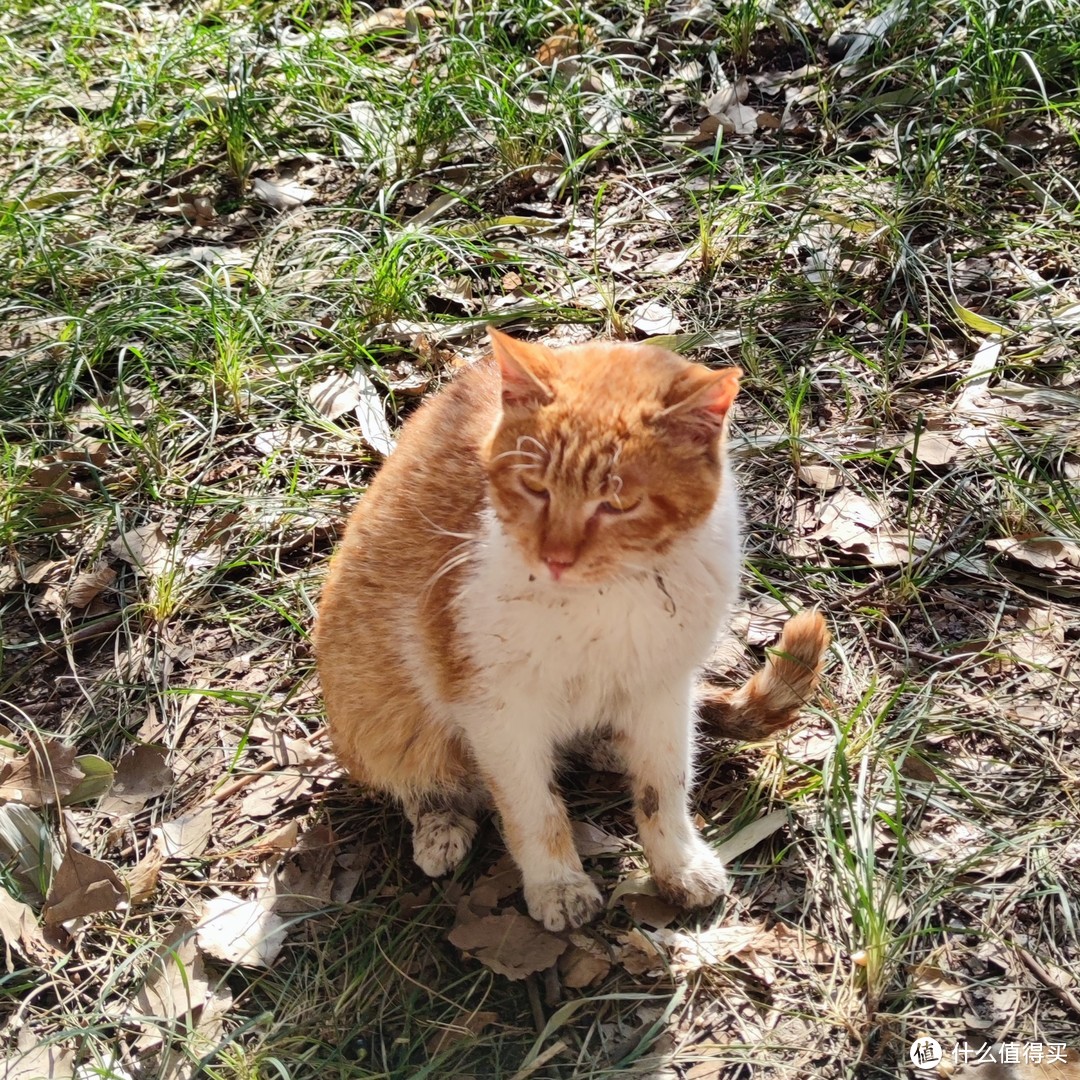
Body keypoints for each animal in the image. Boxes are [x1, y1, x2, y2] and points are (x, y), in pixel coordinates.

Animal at [313, 324, 825, 933]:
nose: (555, 557)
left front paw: (677, 863)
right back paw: (441, 822)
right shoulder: (495, 711)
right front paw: (557, 884)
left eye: (619, 503)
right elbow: (533, 809)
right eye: (535, 488)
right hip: (377, 711)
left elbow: (664, 786)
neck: (609, 597)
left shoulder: (665, 688)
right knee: (422, 776)